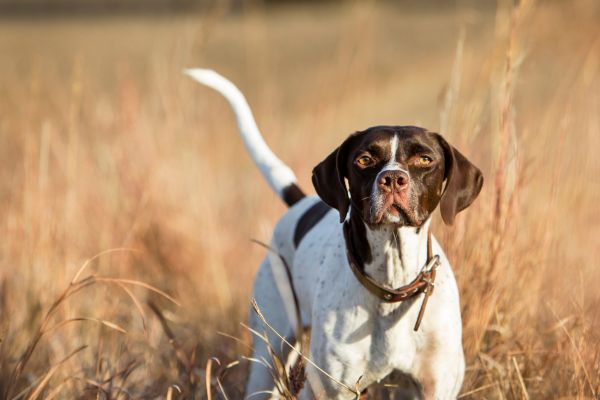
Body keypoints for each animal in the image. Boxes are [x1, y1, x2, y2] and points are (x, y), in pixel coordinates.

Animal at [188, 69, 482, 400]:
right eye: (364, 159)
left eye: (425, 159)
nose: (393, 178)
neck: (391, 285)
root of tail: (300, 203)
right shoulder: (331, 388)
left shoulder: (435, 386)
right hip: (269, 357)